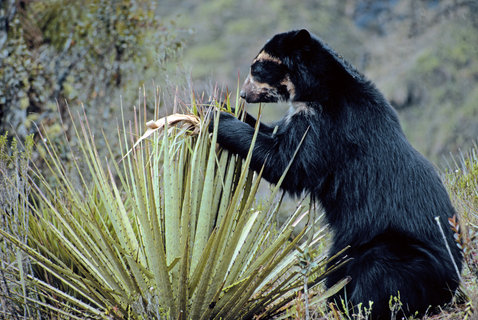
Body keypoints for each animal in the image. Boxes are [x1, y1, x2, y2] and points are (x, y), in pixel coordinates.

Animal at [210, 29, 464, 318]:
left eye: (258, 68)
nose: (243, 94)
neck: (317, 90)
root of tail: (453, 281)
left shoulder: (326, 127)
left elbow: (286, 163)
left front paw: (216, 118)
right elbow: (273, 132)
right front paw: (221, 106)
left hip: (396, 250)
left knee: (377, 274)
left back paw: (356, 308)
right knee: (340, 271)